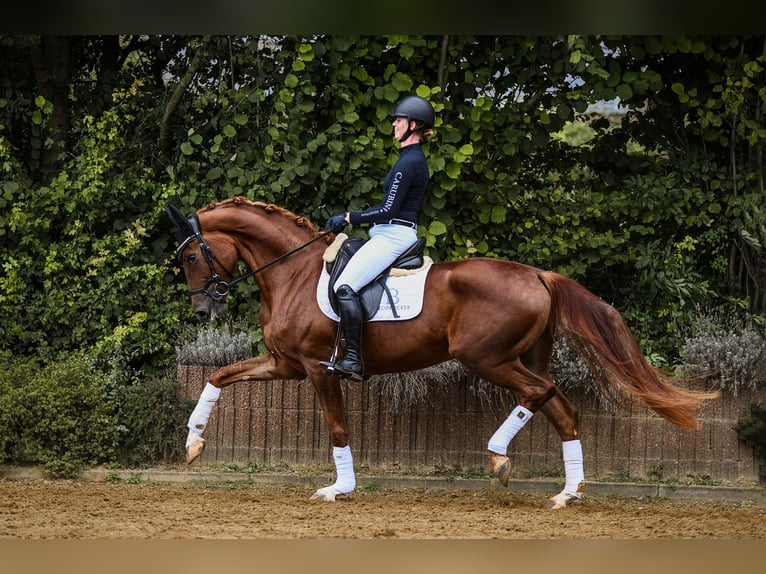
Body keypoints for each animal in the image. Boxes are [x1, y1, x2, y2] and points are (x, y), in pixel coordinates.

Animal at [166, 197, 720, 508]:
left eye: (191, 256)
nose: (203, 310)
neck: (294, 271)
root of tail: (538, 274)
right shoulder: (287, 365)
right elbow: (219, 375)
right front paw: (192, 443)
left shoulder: (318, 369)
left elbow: (338, 428)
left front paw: (339, 489)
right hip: (519, 357)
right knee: (562, 408)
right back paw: (567, 493)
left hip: (489, 359)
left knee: (539, 394)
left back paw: (499, 456)